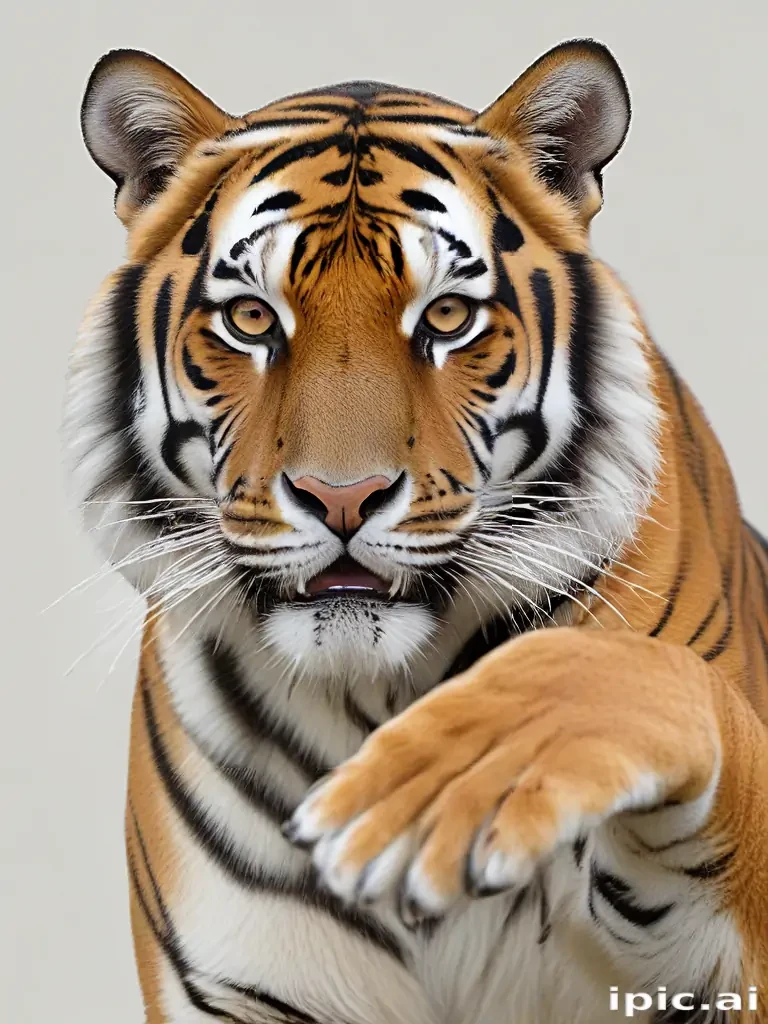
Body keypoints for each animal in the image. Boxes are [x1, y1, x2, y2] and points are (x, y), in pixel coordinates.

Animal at [63, 37, 768, 1024]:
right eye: (251, 318)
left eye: (447, 316)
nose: (342, 496)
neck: (375, 692)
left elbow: (634, 678)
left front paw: (474, 759)